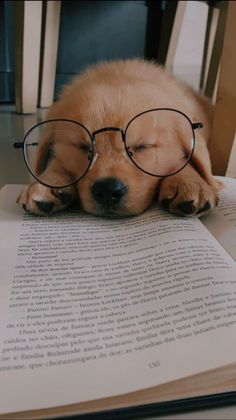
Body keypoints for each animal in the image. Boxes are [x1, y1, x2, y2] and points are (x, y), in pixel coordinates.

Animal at [18, 59, 221, 218]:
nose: (107, 190)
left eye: (142, 146)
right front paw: (47, 182)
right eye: (82, 147)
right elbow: (57, 161)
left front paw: (189, 182)